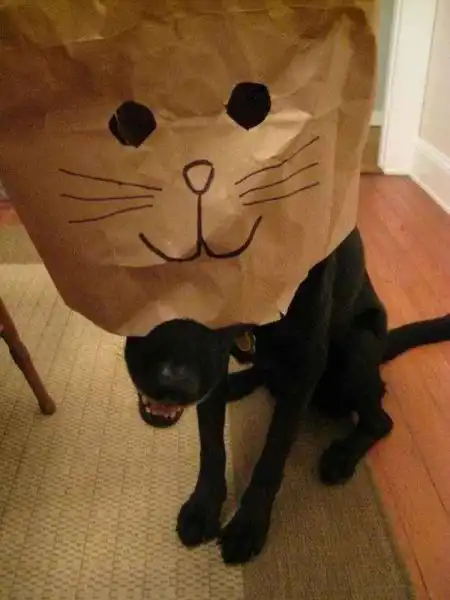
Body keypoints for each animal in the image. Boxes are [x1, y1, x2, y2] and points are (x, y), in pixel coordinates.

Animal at [124, 228, 450, 565]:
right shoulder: (216, 367)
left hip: (354, 351)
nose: (171, 384)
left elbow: (271, 458)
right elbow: (212, 446)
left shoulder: (304, 366)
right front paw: (203, 508)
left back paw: (342, 455)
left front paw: (248, 526)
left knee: (381, 419)